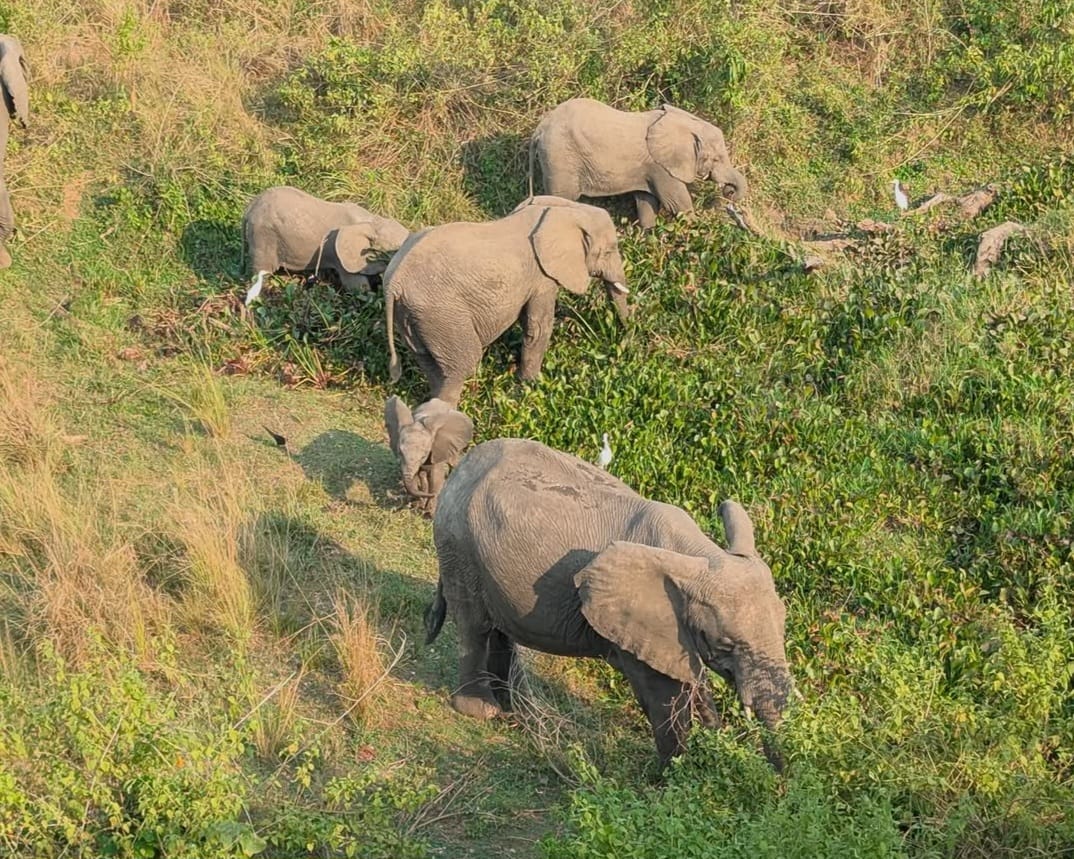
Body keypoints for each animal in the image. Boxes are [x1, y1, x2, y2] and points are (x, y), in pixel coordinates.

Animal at [241, 185, 410, 305]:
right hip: (263, 237)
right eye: (395, 252)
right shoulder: (341, 258)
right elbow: (358, 288)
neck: (373, 221)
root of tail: (250, 207)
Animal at [383, 198, 629, 405]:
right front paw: (530, 387)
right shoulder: (542, 277)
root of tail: (395, 283)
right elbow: (538, 327)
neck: (562, 211)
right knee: (464, 363)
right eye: (609, 251)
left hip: (412, 316)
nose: (625, 334)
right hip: (441, 314)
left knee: (427, 360)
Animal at [426, 438, 792, 766]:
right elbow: (663, 693)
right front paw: (671, 776)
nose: (780, 781)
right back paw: (482, 710)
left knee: (500, 630)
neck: (700, 554)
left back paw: (512, 713)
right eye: (726, 644)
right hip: (458, 544)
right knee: (475, 625)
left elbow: (689, 679)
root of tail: (464, 463)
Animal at [529, 98, 748, 230]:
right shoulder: (661, 166)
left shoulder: (649, 169)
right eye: (716, 159)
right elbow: (677, 203)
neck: (687, 125)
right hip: (559, 158)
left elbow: (646, 201)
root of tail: (539, 130)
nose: (729, 191)